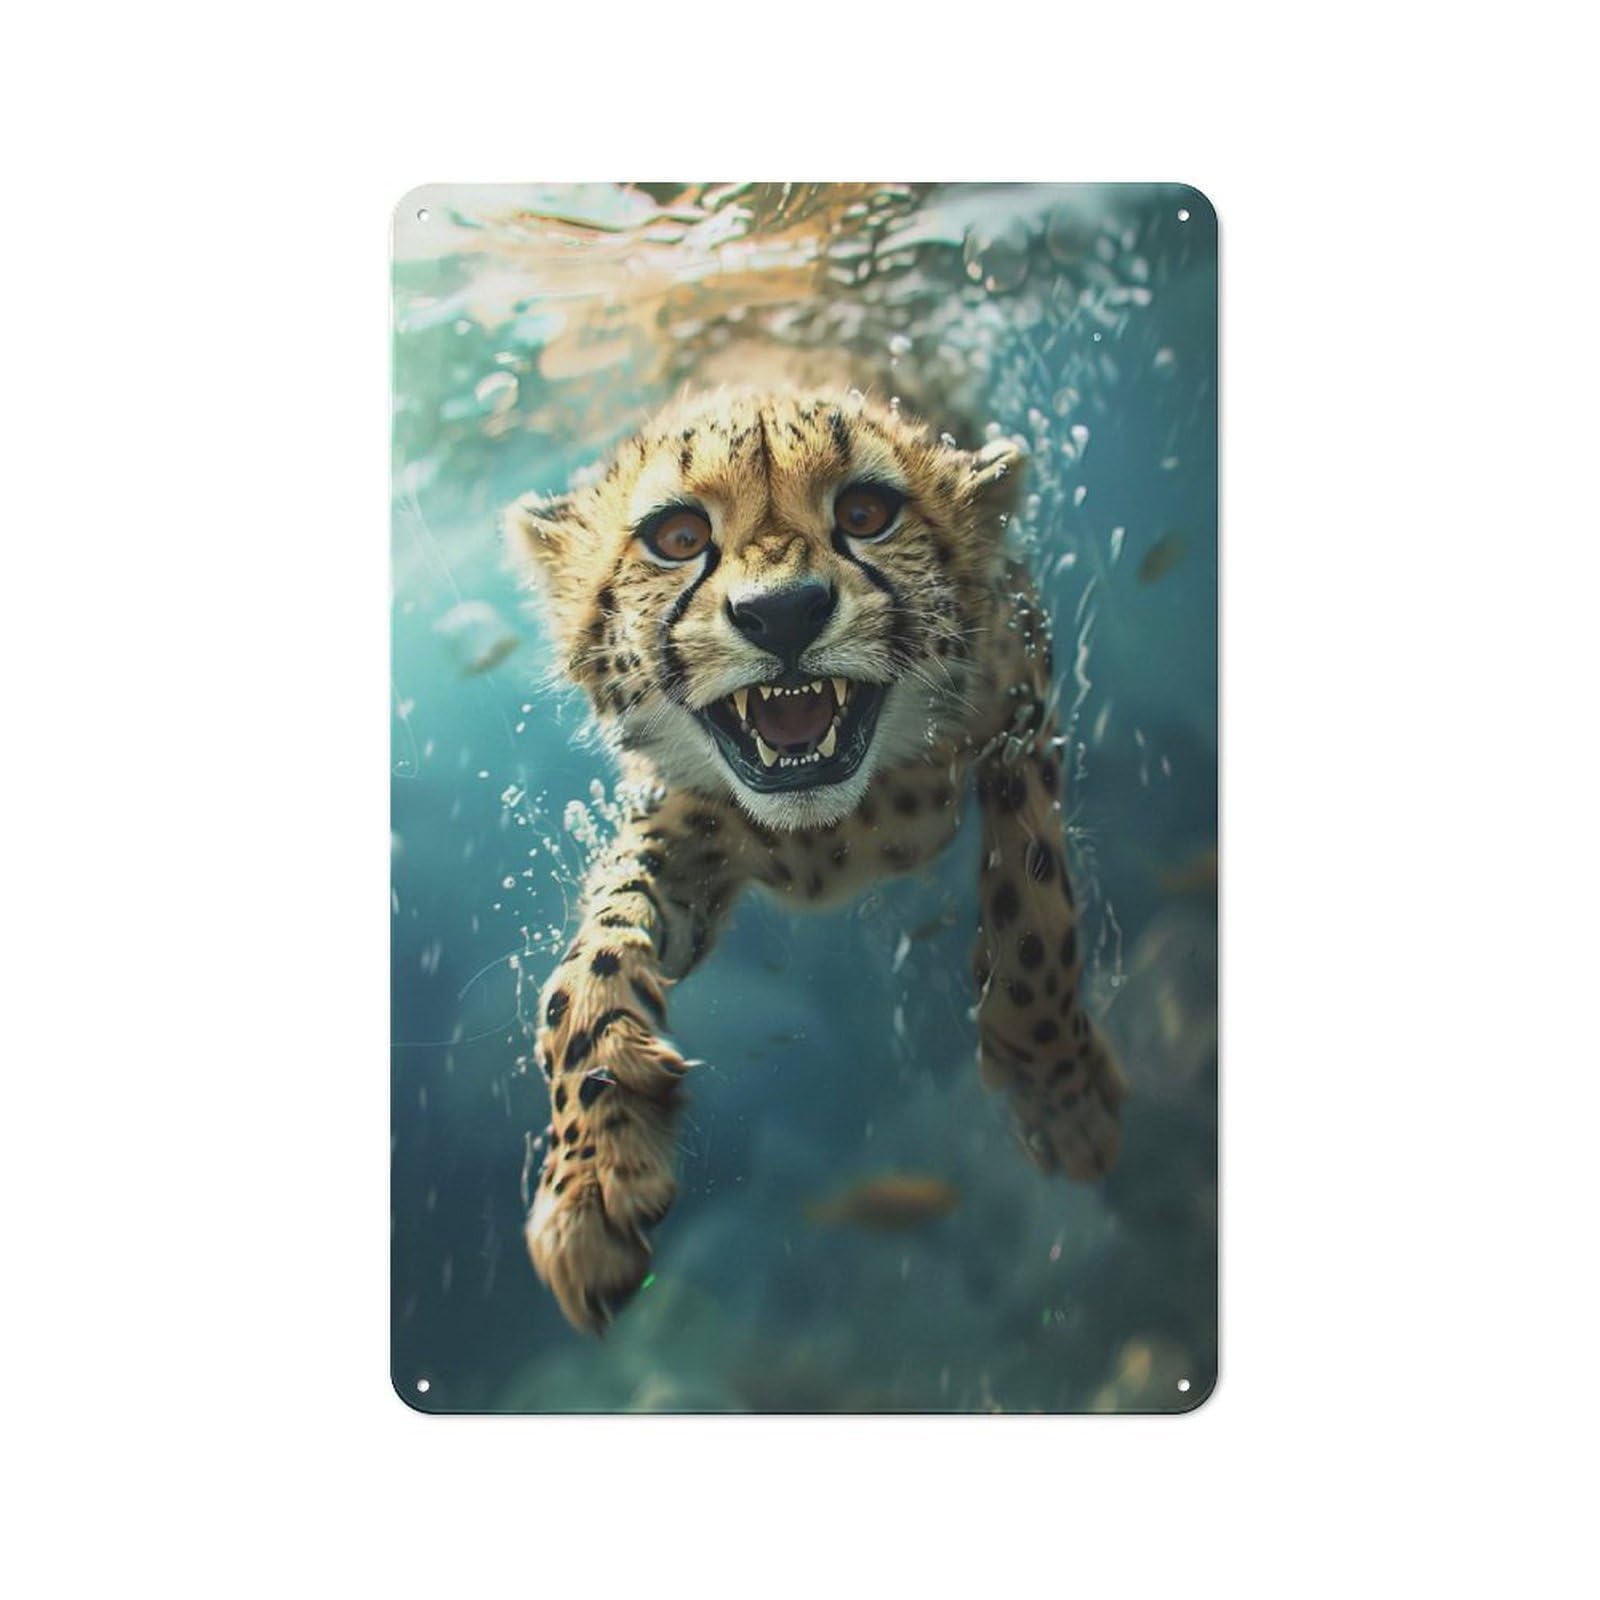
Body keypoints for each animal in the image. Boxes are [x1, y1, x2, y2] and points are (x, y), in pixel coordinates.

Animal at [506, 386, 1127, 1332]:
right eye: (677, 536)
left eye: (867, 514)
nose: (784, 612)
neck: (839, 827)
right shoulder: (683, 826)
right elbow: (588, 966)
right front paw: (590, 1174)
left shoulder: (1021, 705)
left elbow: (1034, 916)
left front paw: (1059, 1091)